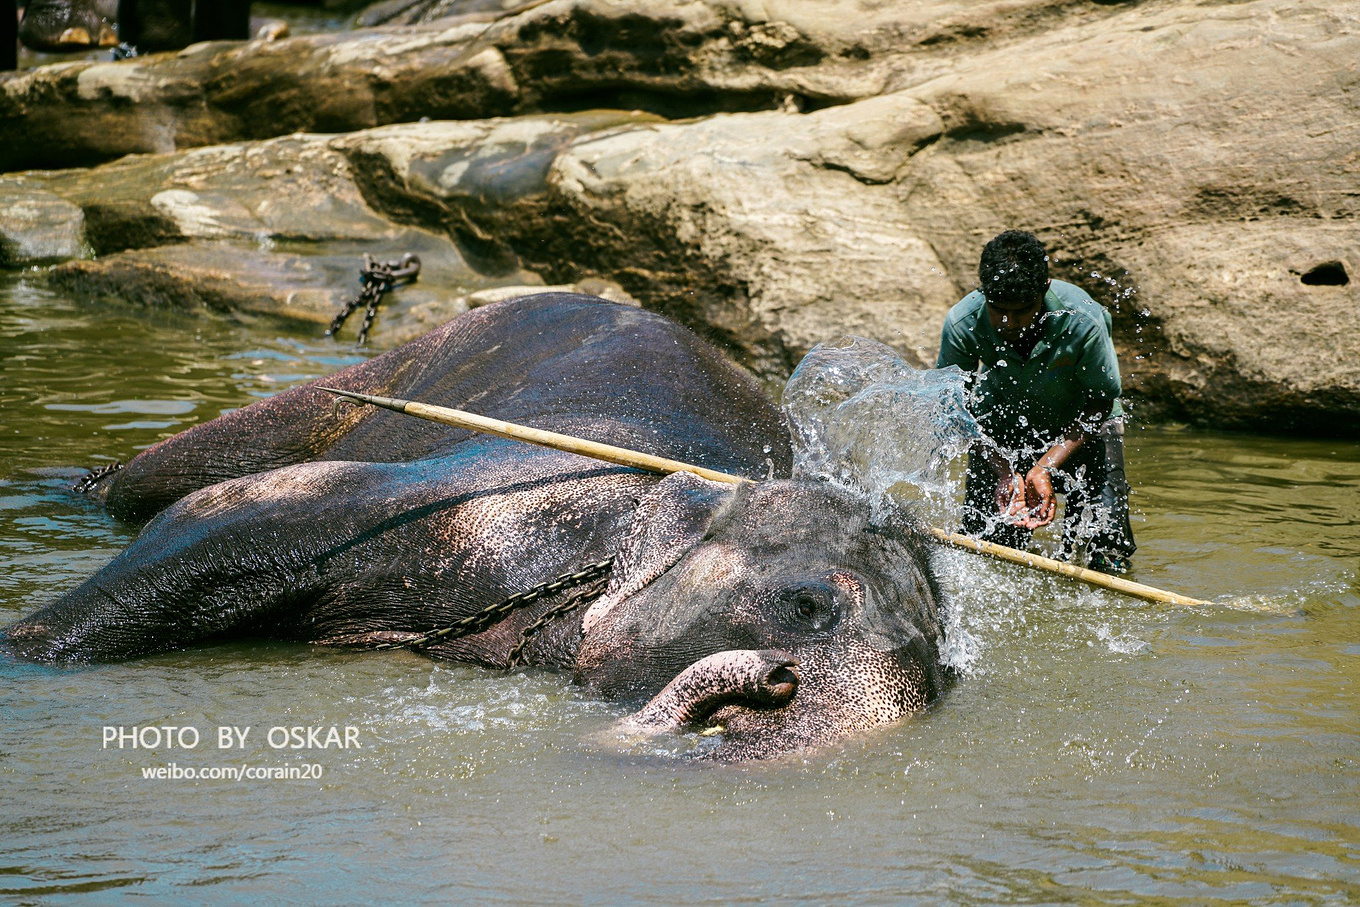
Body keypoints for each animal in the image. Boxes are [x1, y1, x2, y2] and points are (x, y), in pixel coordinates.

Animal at [5, 292, 952, 761]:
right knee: (175, 474)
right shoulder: (476, 507)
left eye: (942, 661)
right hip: (400, 365)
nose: (769, 683)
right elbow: (222, 514)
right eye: (807, 606)